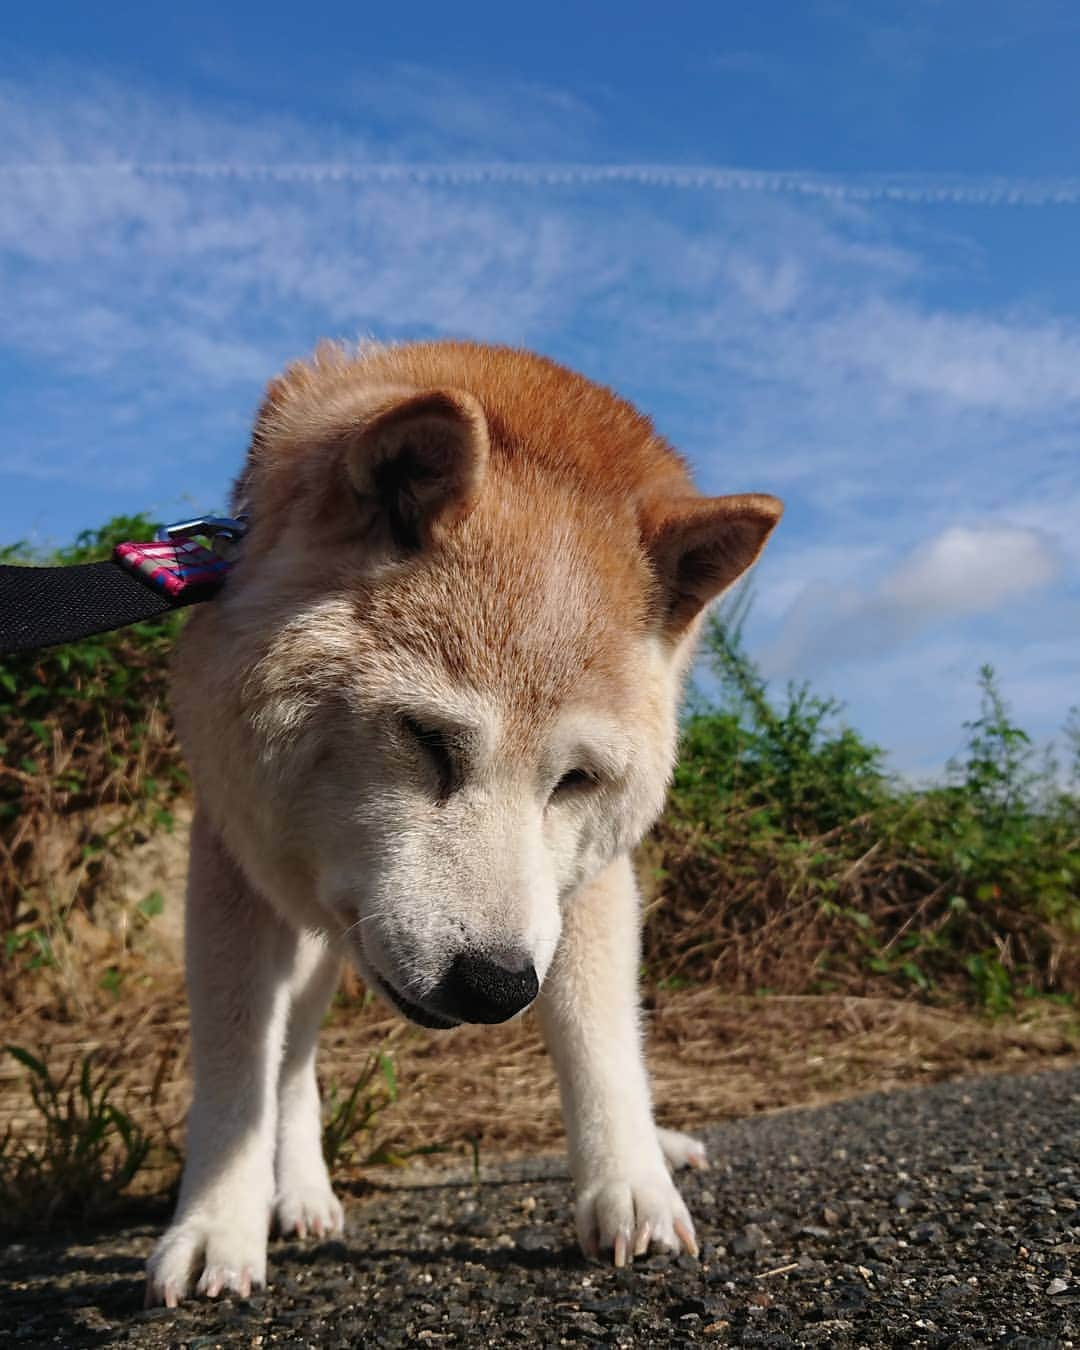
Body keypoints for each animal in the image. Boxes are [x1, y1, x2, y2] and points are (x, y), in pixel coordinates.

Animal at [145, 340, 783, 1306]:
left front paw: (629, 1180)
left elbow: (599, 1035)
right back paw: (299, 1191)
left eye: (575, 781)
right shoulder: (230, 861)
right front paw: (217, 1222)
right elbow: (236, 1066)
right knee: (289, 1060)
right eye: (426, 739)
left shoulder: (582, 886)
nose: (494, 988)